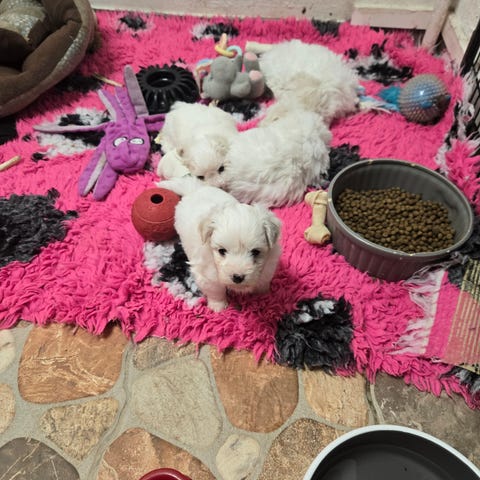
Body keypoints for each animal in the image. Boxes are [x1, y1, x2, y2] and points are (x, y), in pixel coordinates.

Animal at [157, 177, 282, 312]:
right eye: (222, 251)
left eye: (255, 252)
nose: (238, 277)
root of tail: (194, 189)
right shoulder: (208, 276)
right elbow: (216, 291)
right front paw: (218, 306)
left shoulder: (269, 265)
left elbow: (263, 280)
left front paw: (263, 295)